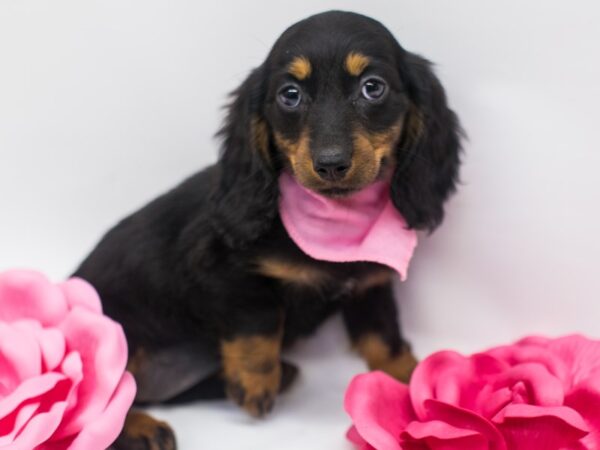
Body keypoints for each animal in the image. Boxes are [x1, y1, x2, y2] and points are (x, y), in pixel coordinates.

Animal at [75, 10, 460, 450]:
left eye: (373, 88)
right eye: (289, 95)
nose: (331, 164)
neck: (336, 224)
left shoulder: (370, 284)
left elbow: (385, 334)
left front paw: (410, 380)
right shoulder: (222, 270)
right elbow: (259, 319)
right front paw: (256, 381)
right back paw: (143, 428)